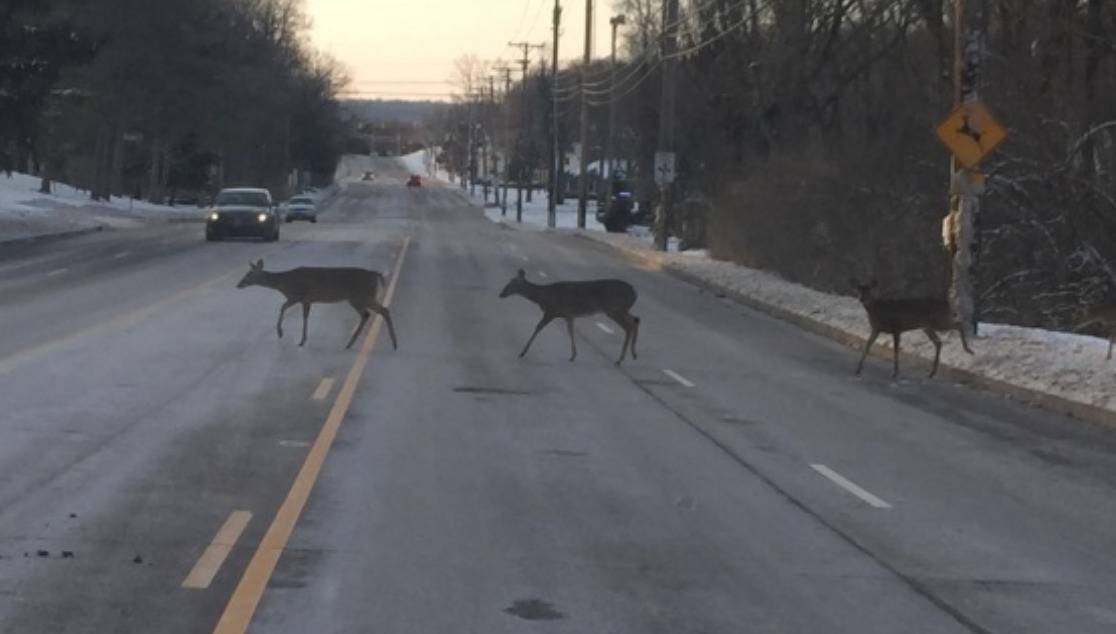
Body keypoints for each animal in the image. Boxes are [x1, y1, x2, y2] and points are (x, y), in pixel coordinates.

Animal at [236, 259, 397, 350]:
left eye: (249, 274)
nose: (238, 284)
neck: (284, 284)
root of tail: (375, 274)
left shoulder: (297, 296)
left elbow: (282, 308)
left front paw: (281, 333)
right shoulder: (306, 299)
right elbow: (305, 317)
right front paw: (302, 339)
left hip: (361, 296)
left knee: (379, 311)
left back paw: (392, 343)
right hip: (361, 297)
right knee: (373, 313)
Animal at [499, 268, 640, 365]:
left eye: (512, 283)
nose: (501, 294)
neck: (542, 296)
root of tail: (634, 291)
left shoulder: (551, 311)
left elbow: (538, 328)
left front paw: (522, 352)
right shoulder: (569, 315)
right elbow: (570, 332)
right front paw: (573, 356)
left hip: (614, 308)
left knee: (630, 325)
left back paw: (621, 359)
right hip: (619, 309)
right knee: (635, 321)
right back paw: (632, 355)